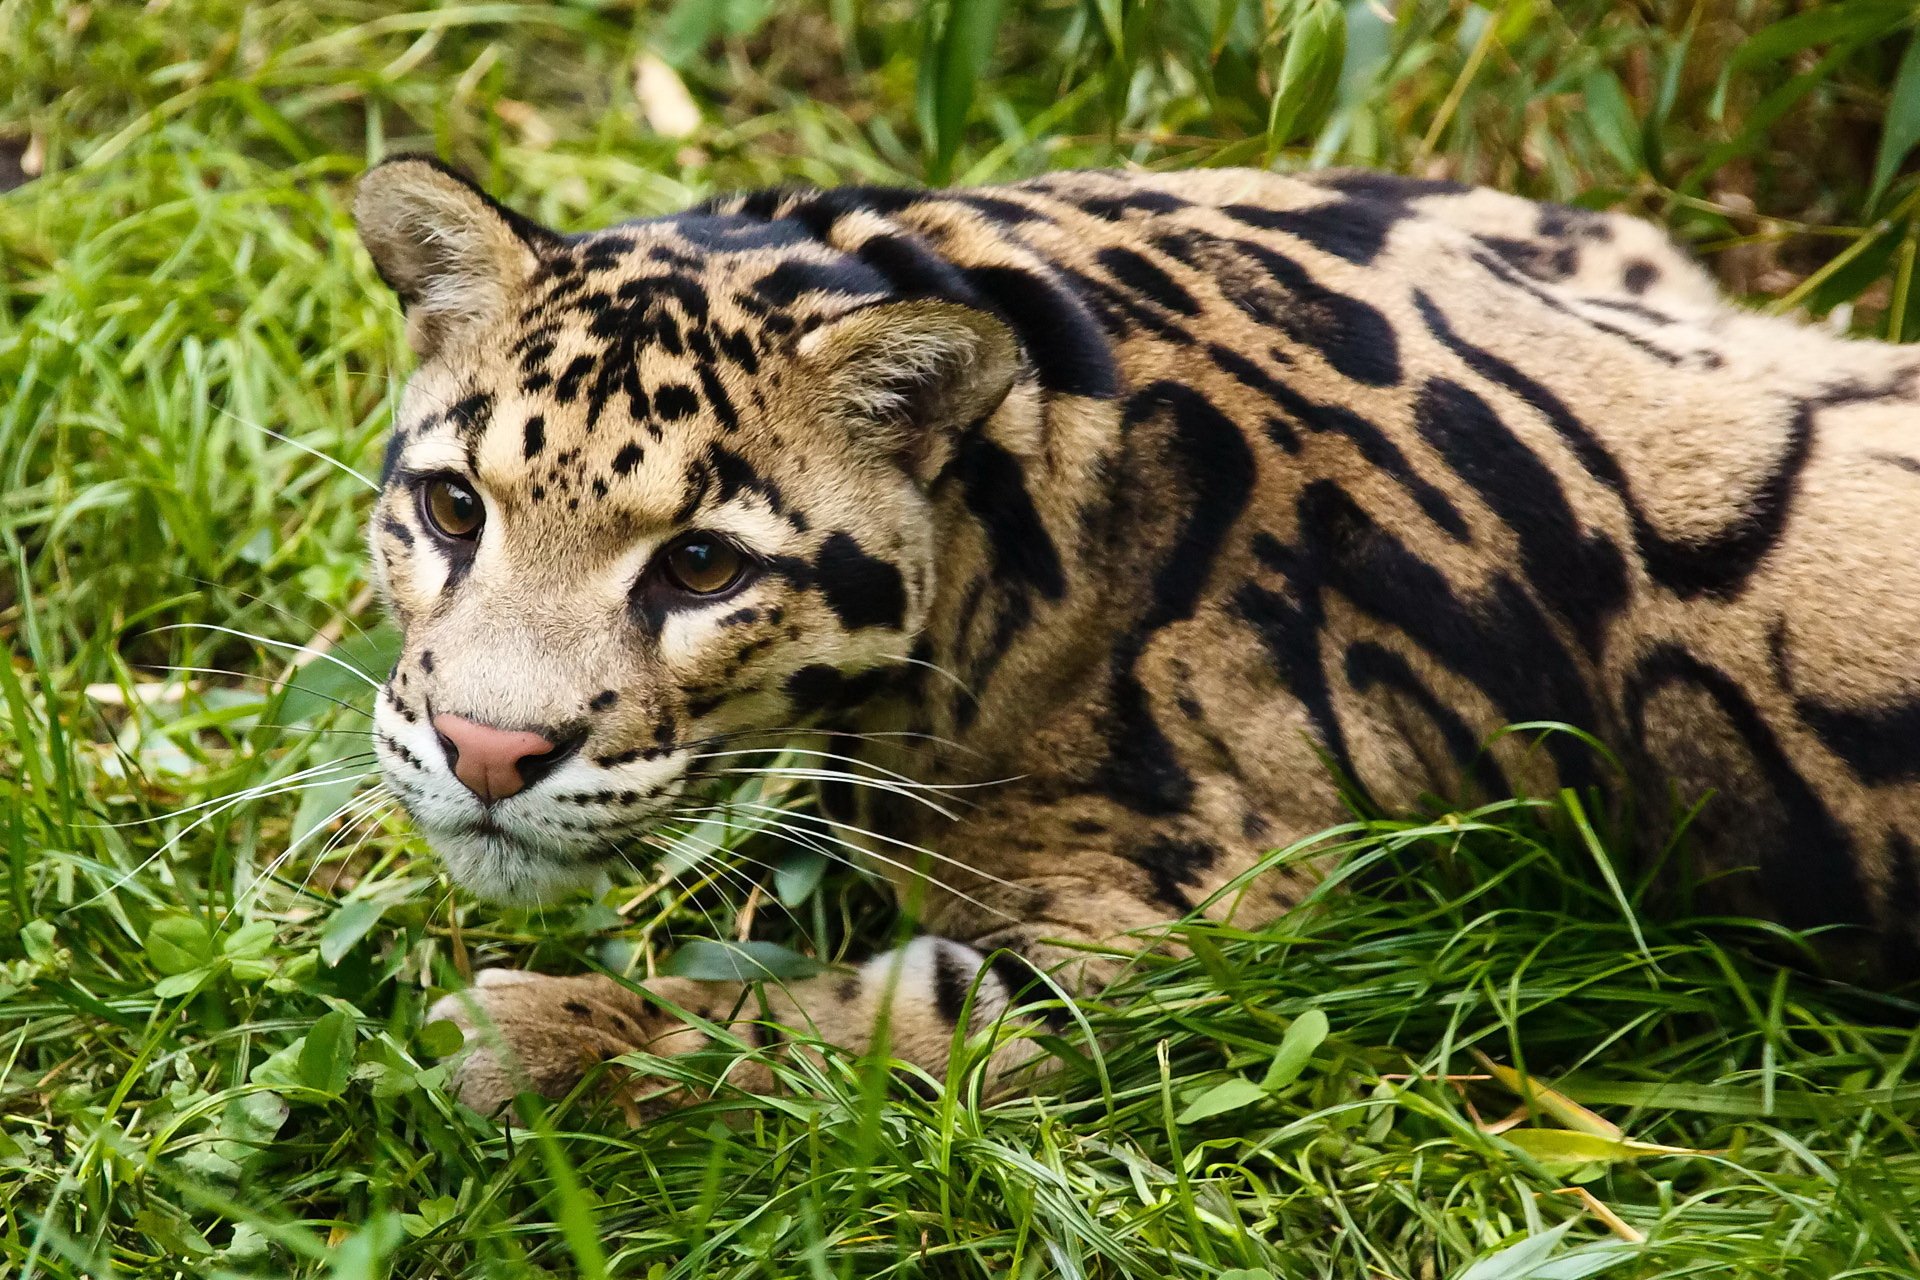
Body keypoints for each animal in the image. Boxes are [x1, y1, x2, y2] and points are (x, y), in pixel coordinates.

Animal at [351, 156, 1920, 1116]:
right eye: (450, 508)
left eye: (699, 567)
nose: (487, 750)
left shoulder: (1211, 921)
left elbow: (862, 1028)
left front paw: (541, 1040)